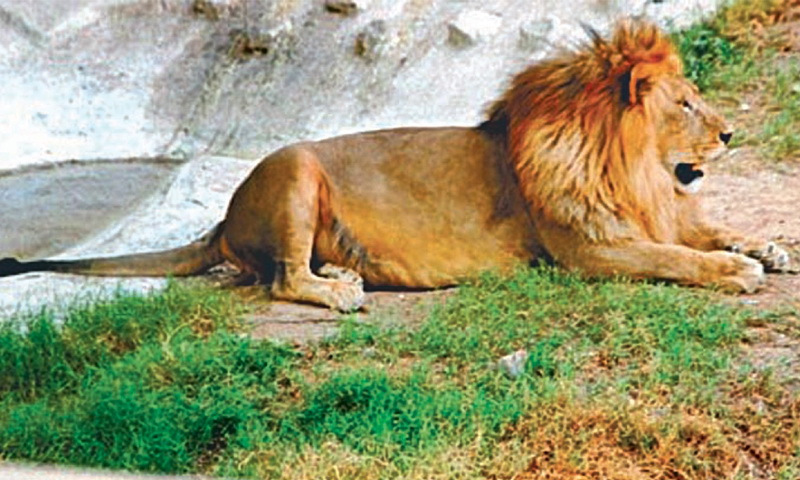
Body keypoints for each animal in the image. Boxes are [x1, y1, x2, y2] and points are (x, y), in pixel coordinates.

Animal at [0, 19, 788, 312]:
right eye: (685, 103)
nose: (731, 133)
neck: (634, 171)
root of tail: (223, 219)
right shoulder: (587, 250)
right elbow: (673, 257)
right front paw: (735, 270)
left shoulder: (656, 212)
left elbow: (705, 230)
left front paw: (766, 247)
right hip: (294, 169)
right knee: (282, 280)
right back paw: (339, 292)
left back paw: (343, 273)